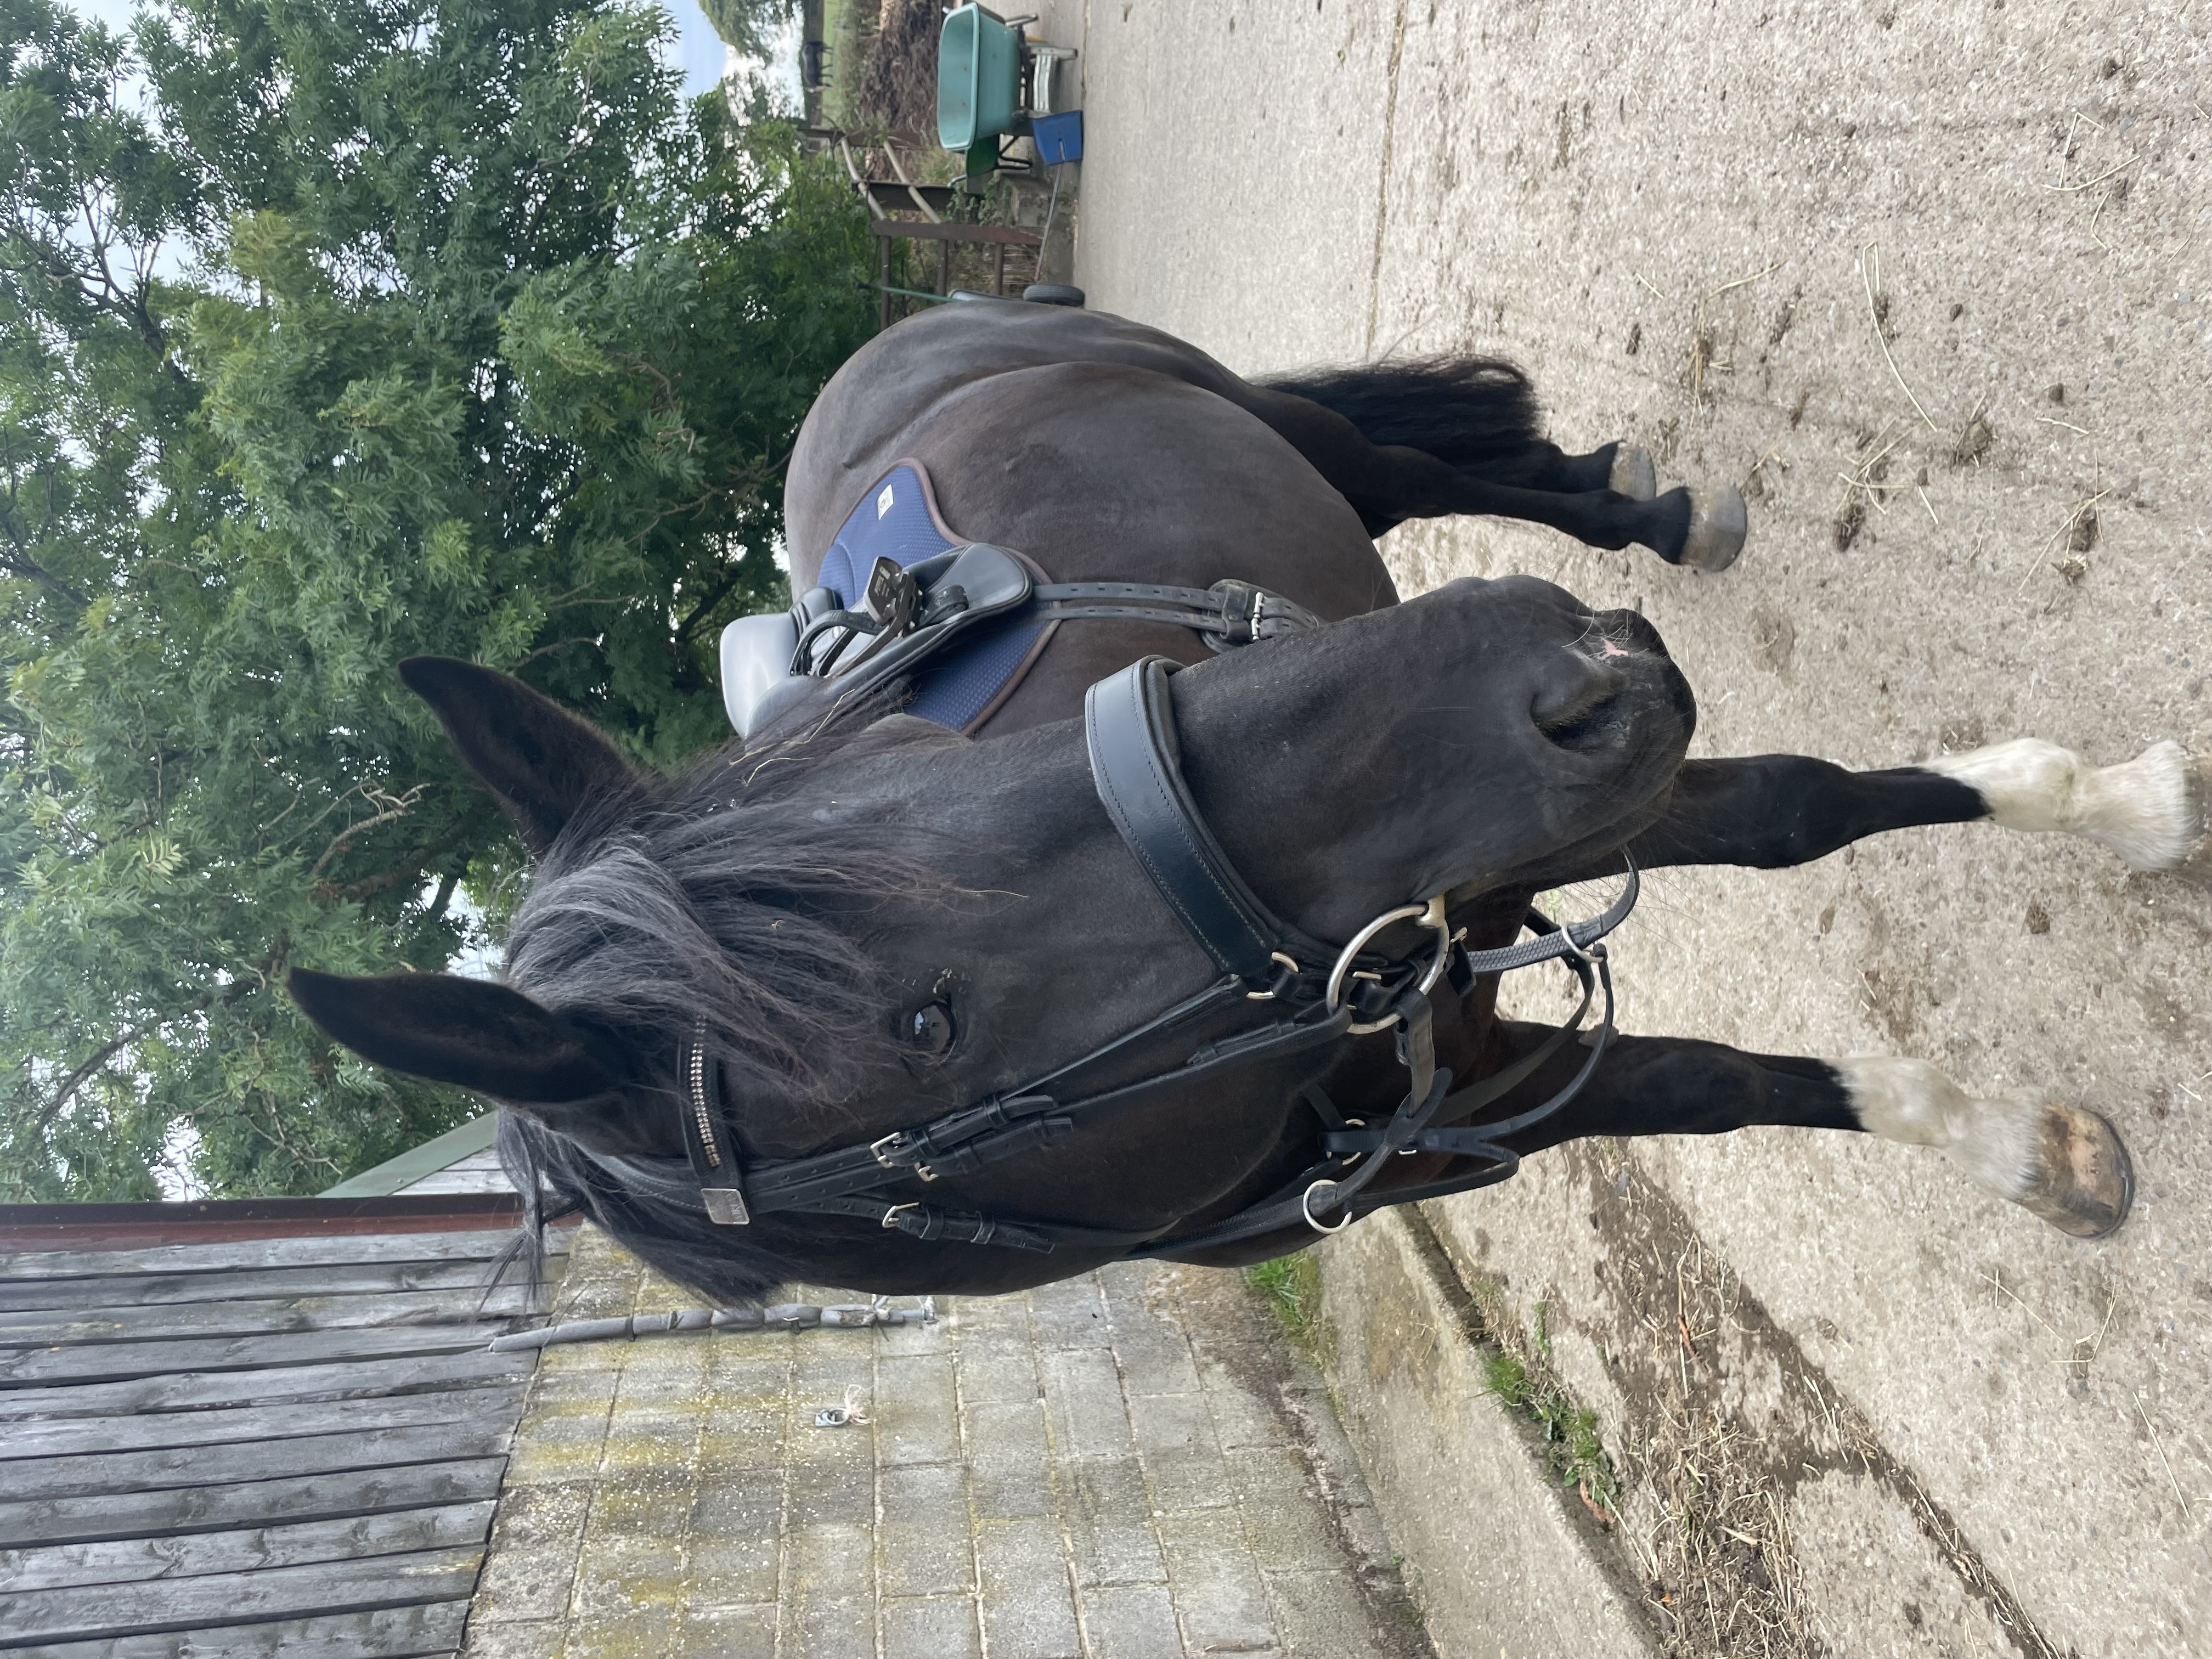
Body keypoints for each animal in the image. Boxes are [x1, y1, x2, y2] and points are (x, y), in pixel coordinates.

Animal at [289, 300, 2205, 1301]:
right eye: (926, 1021)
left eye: (934, 756)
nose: (1567, 672)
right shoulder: (1486, 1065)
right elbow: (1732, 1083)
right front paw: (2022, 1151)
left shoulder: (1531, 816)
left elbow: (1808, 804)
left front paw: (2126, 805)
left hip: (1307, 447)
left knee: (1427, 461)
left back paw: (1651, 519)